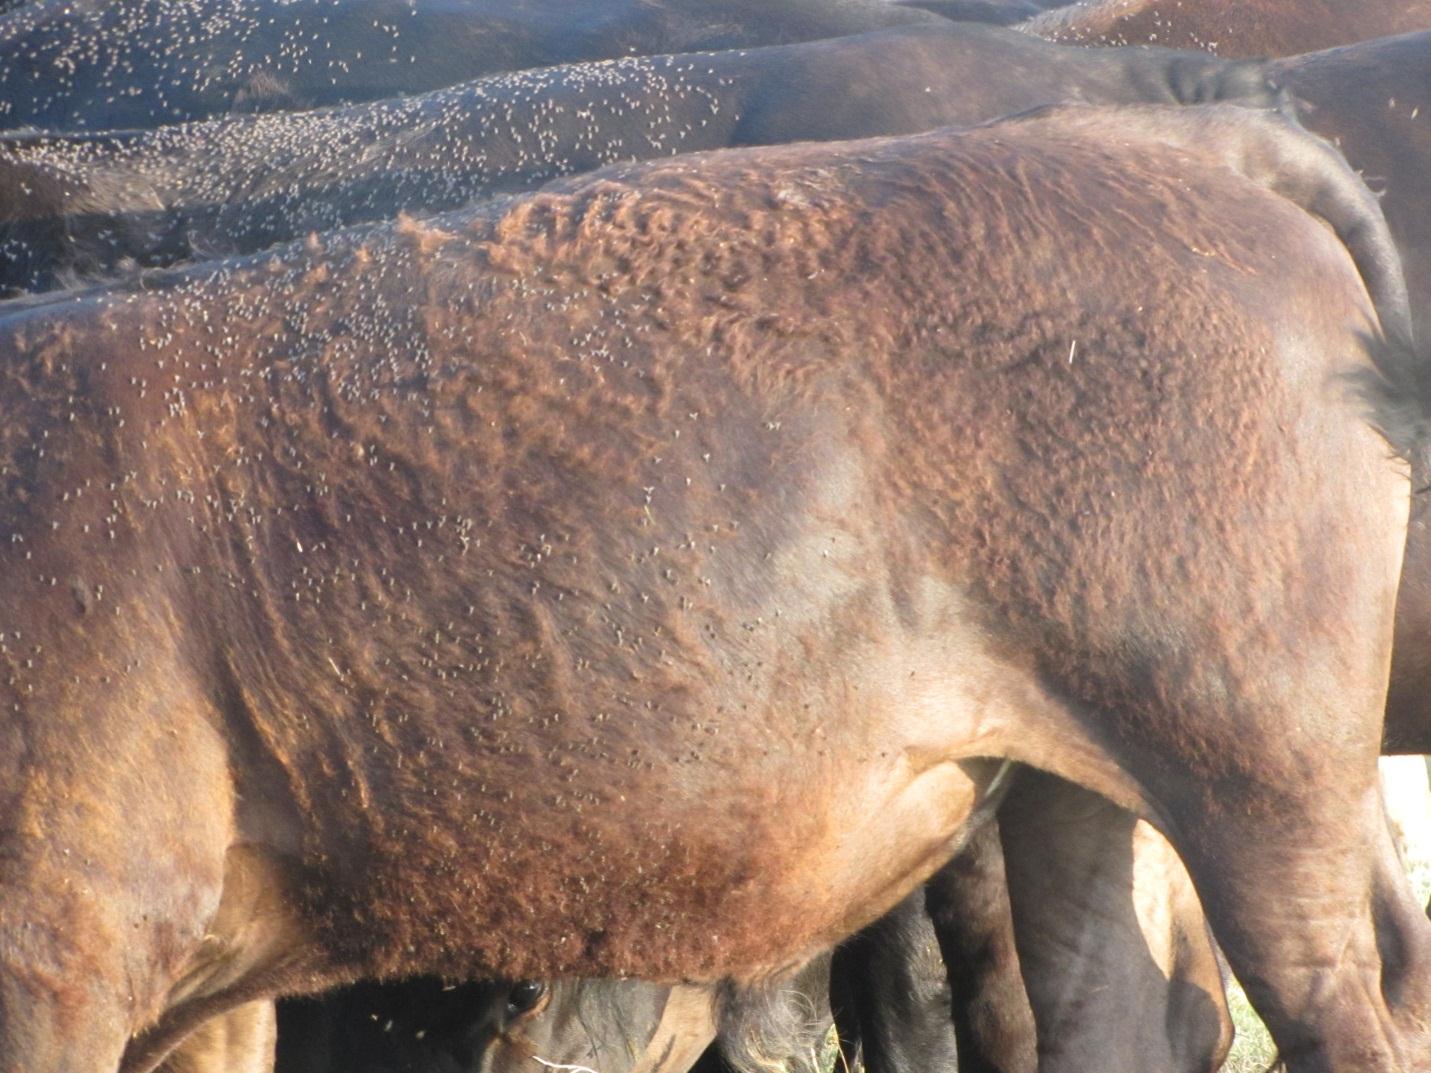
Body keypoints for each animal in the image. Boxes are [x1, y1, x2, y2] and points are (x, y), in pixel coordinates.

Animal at [0, 102, 1425, 1073]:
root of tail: (1178, 140)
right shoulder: (202, 982)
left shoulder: (58, 951)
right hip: (1085, 790)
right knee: (1112, 1009)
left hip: (1261, 775)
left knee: (1343, 997)